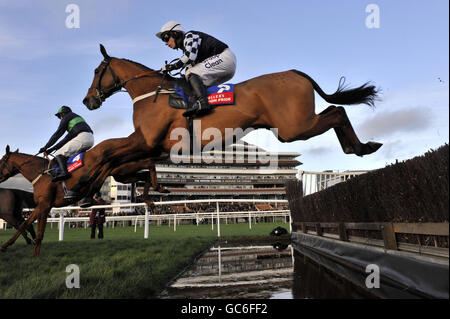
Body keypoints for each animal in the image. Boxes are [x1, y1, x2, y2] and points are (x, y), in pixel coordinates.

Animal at [0, 136, 166, 256]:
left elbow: (39, 230)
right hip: (122, 173)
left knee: (148, 163)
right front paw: (6, 245)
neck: (41, 173)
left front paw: (35, 253)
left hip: (120, 167)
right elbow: (24, 224)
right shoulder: (41, 205)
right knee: (145, 174)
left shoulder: (45, 205)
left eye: (1, 161)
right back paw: (151, 196)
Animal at [82, 44, 382, 159]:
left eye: (96, 71)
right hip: (295, 125)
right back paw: (359, 146)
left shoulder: (147, 140)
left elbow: (108, 149)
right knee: (334, 109)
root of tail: (295, 73)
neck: (153, 93)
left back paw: (361, 147)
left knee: (337, 111)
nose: (87, 100)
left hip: (293, 127)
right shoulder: (152, 146)